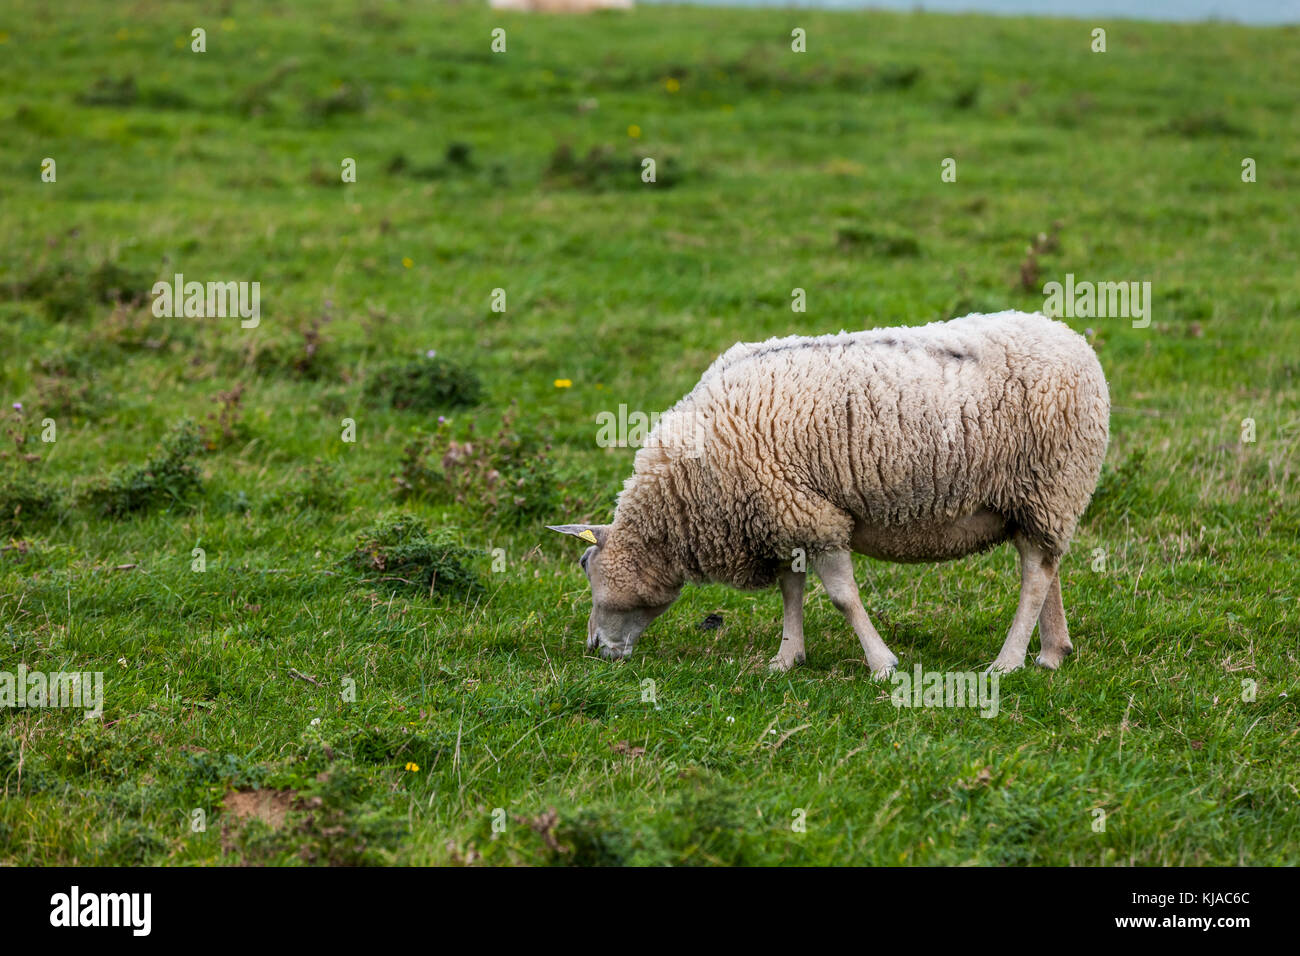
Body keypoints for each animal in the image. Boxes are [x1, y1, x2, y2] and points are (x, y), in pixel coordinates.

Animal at [546, 310, 1107, 676]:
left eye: (587, 569)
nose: (594, 648)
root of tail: (1073, 340)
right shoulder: (783, 512)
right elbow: (791, 590)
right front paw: (786, 657)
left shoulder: (813, 515)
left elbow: (841, 597)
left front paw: (882, 663)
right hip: (1037, 499)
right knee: (1046, 566)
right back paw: (1052, 652)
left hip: (1052, 480)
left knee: (1034, 577)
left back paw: (1008, 662)